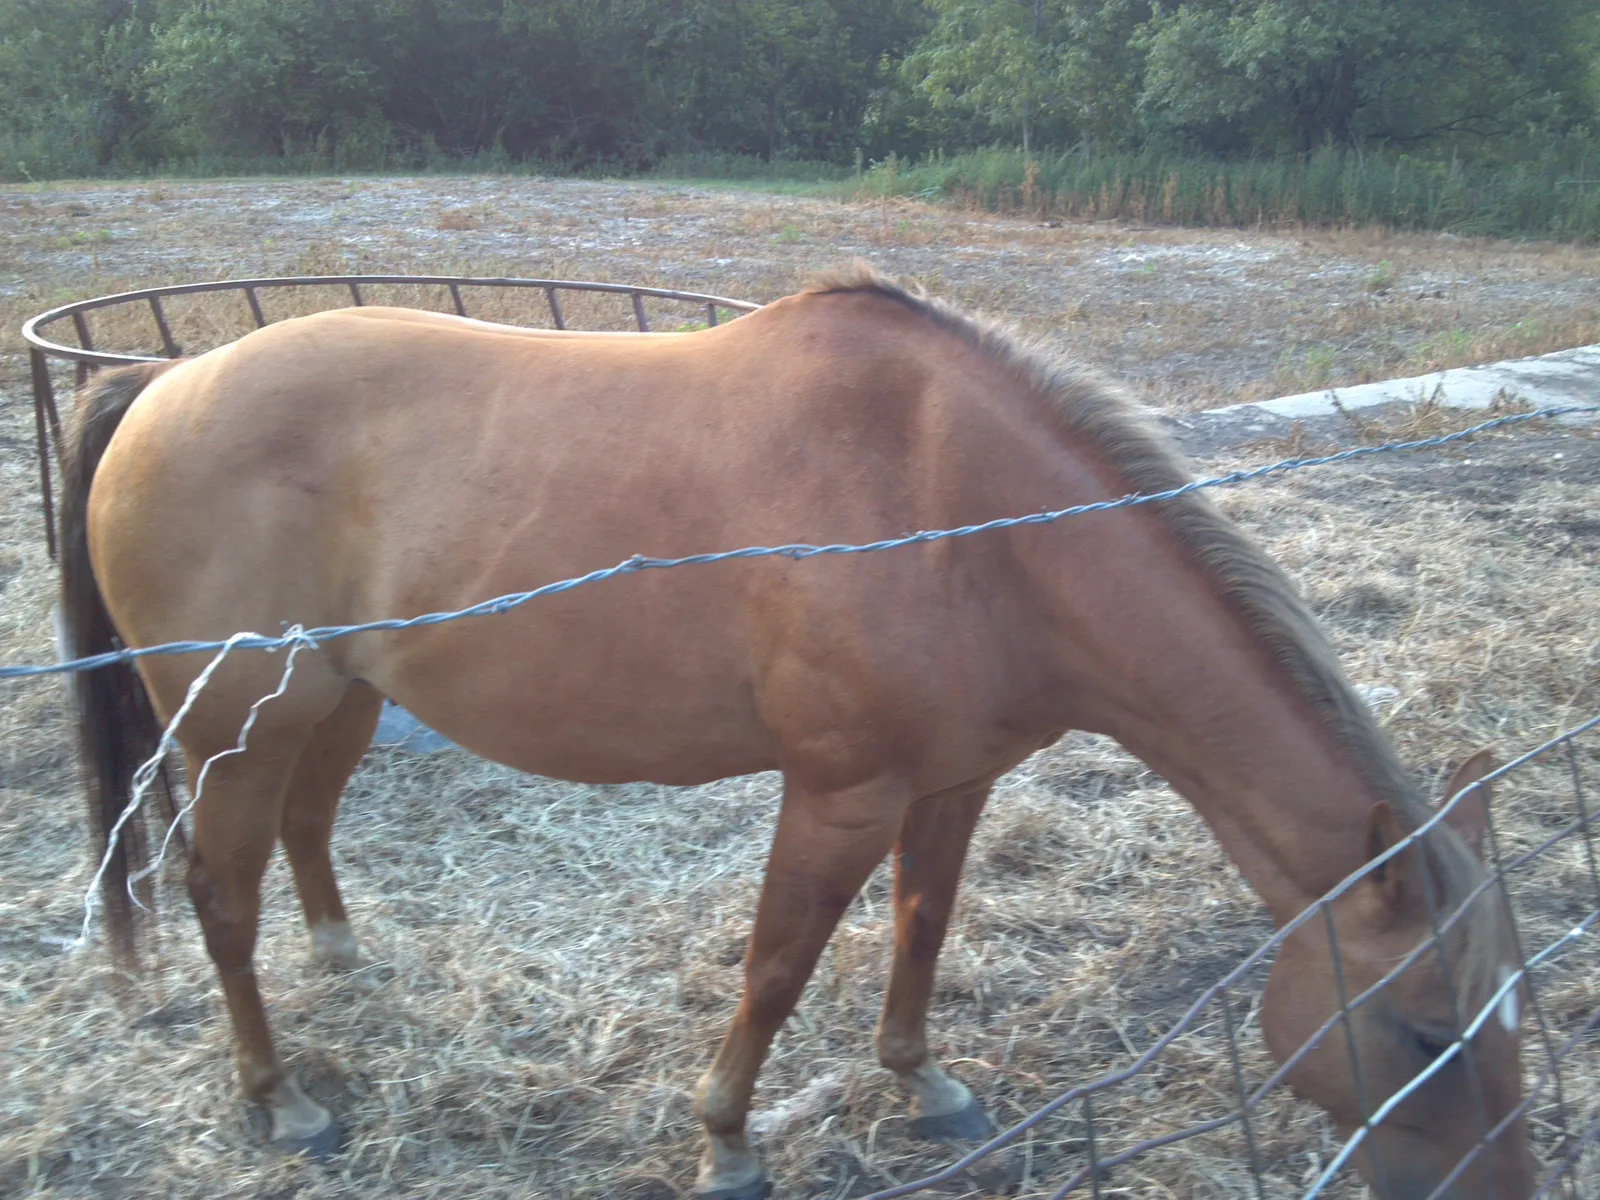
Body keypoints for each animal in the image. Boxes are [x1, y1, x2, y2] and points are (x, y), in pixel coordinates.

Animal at [60, 266, 1531, 1199]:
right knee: (220, 895)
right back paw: (280, 1100)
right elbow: (776, 966)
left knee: (305, 833)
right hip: (239, 730)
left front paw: (920, 1085)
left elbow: (921, 927)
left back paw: (344, 962)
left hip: (340, 700)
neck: (966, 515)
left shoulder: (955, 781)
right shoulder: (839, 792)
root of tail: (164, 380)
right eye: (1423, 1034)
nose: (1495, 1188)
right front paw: (727, 1144)